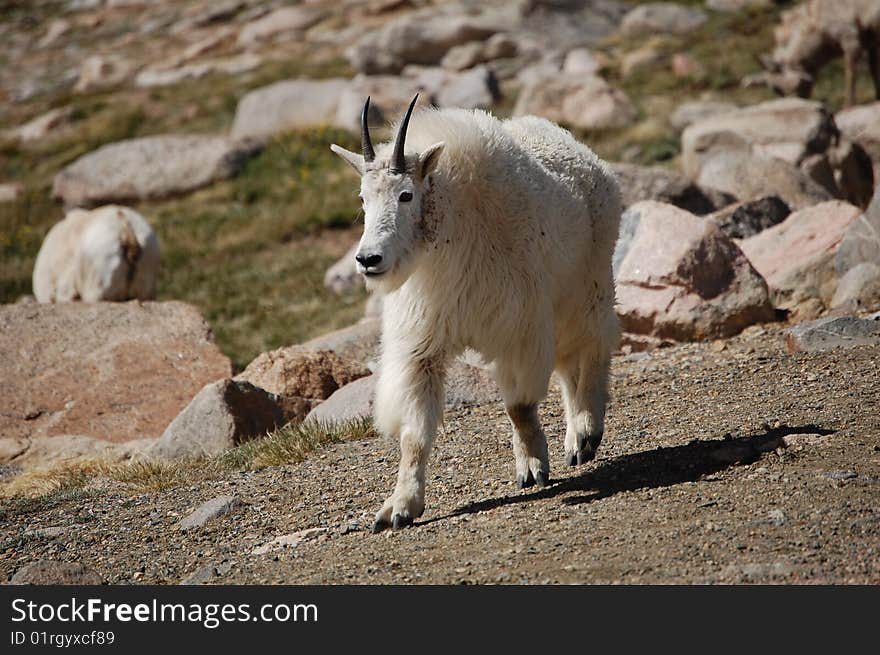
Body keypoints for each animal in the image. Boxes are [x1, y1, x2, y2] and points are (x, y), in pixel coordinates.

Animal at [334, 100, 624, 536]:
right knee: (567, 363)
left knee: (594, 345)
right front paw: (400, 507)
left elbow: (519, 406)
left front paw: (532, 468)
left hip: (588, 283)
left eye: (406, 195)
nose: (368, 259)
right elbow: (414, 434)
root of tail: (582, 151)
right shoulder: (423, 343)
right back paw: (576, 438)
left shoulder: (519, 326)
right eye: (363, 198)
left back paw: (587, 431)